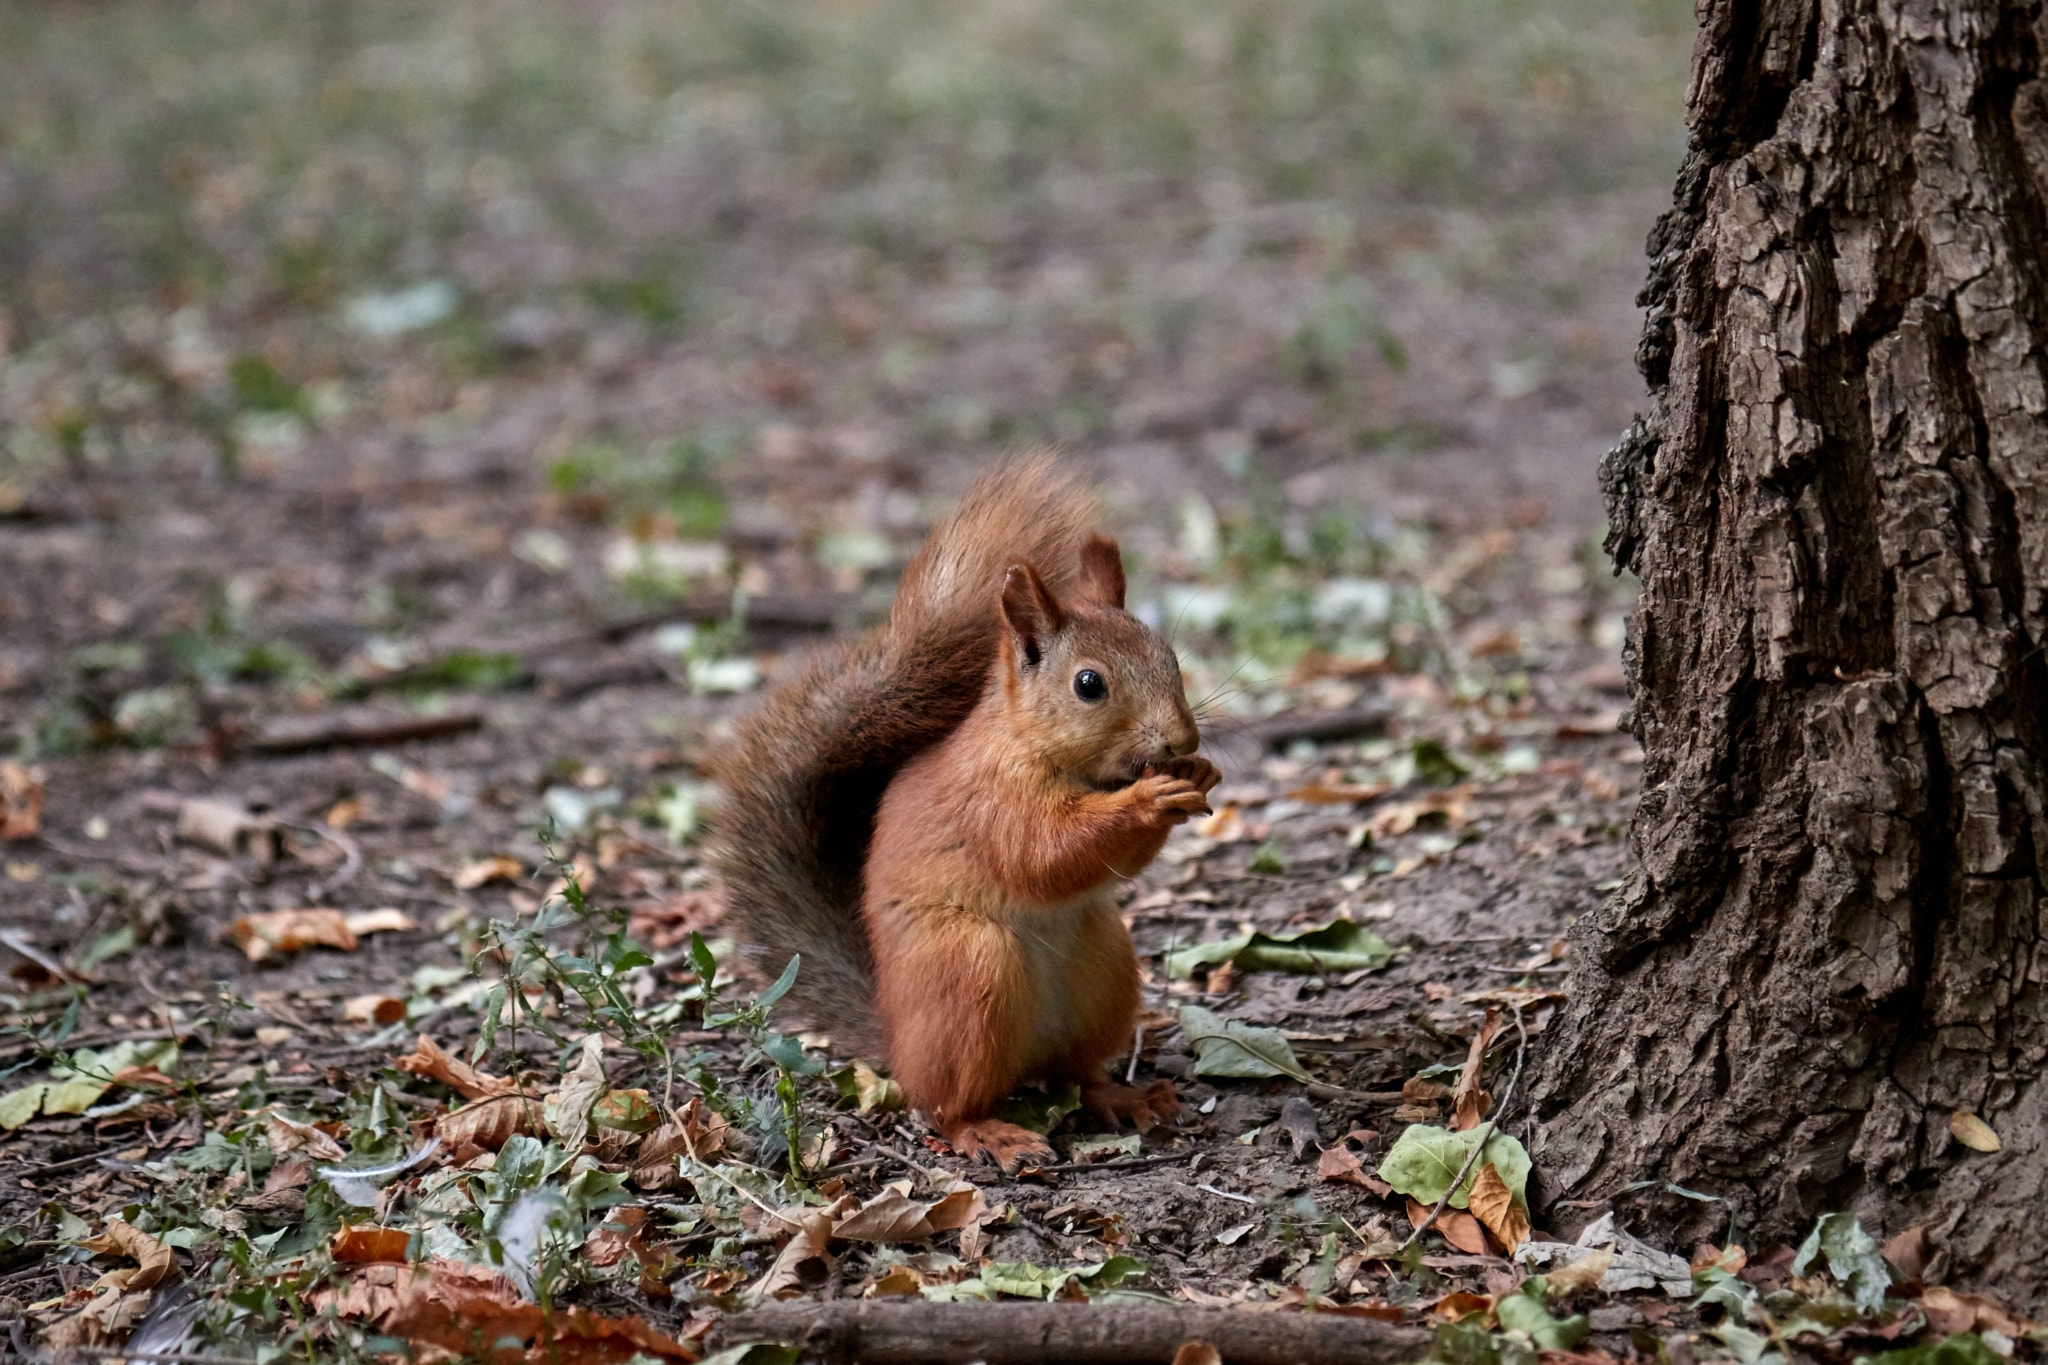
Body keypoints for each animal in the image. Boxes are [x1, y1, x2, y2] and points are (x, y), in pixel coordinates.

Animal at [712, 458, 1212, 1178]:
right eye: (1089, 684)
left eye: (1168, 656)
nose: (1181, 740)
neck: (1036, 745)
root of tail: (896, 1036)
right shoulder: (991, 802)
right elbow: (1044, 855)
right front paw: (1146, 800)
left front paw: (1197, 775)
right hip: (968, 970)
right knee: (946, 1104)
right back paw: (990, 1131)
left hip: (1104, 962)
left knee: (1074, 1074)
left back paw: (1121, 1094)